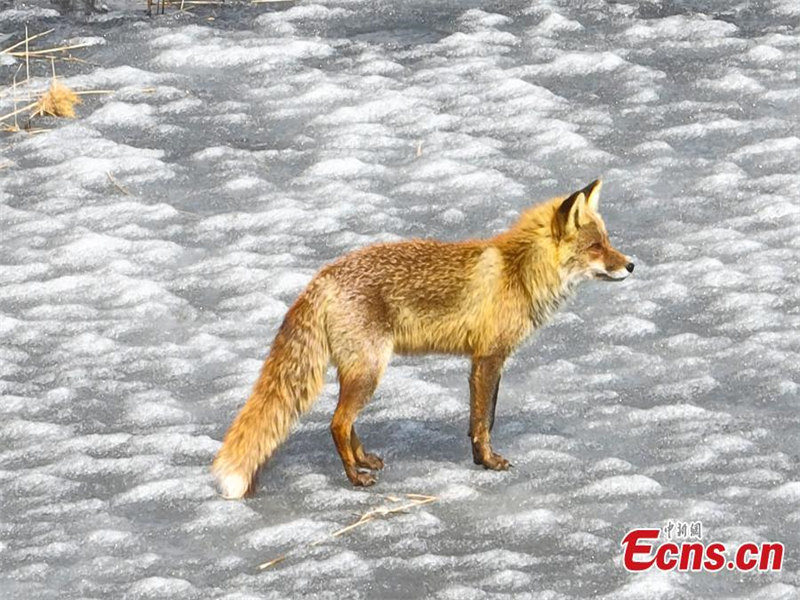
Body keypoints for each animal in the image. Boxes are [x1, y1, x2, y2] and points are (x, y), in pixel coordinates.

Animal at [212, 179, 634, 499]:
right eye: (596, 247)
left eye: (608, 240)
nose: (631, 265)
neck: (520, 271)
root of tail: (322, 276)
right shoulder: (488, 356)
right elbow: (484, 421)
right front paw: (487, 461)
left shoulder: (488, 360)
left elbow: (483, 417)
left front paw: (479, 458)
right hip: (369, 370)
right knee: (337, 423)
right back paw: (355, 478)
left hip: (359, 370)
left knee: (345, 422)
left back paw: (364, 460)